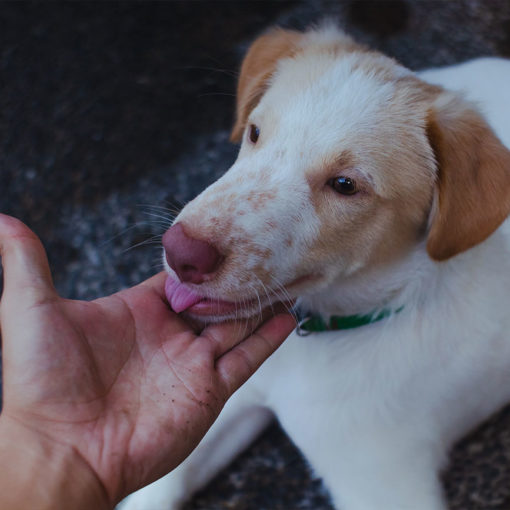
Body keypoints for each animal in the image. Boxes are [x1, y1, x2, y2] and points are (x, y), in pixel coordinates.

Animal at [123, 24, 510, 510]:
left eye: (345, 185)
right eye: (254, 132)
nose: (181, 253)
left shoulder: (384, 485)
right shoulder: (229, 400)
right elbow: (157, 488)